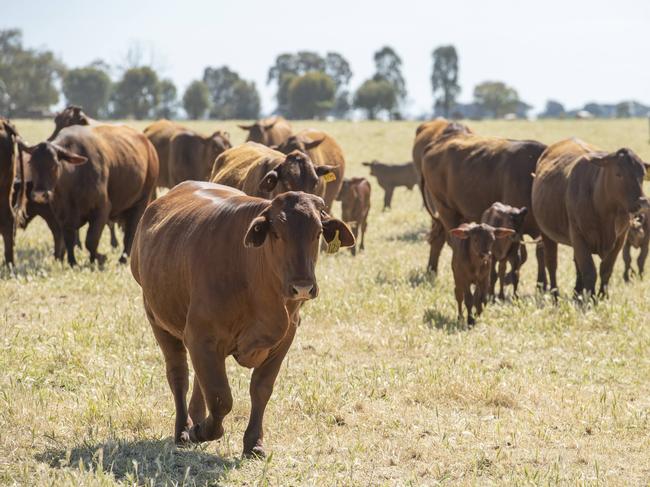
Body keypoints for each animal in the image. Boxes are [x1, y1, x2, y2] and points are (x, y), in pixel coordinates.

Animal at [22, 123, 158, 266]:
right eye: (31, 164)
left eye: (54, 164)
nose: (39, 194)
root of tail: (149, 145)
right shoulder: (63, 216)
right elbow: (70, 240)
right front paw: (72, 262)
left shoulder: (101, 210)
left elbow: (91, 240)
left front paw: (97, 259)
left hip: (141, 202)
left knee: (130, 233)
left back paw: (123, 259)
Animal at [130, 182, 354, 458]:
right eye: (276, 232)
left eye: (319, 231)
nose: (302, 286)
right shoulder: (201, 337)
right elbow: (220, 398)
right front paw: (202, 432)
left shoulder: (283, 339)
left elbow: (260, 389)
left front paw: (253, 443)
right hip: (158, 321)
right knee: (179, 375)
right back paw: (184, 429)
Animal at [418, 124, 544, 288]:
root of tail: (435, 144)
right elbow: (523, 256)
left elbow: (539, 255)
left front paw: (542, 284)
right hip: (446, 211)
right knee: (451, 240)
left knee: (437, 240)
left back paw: (431, 271)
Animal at [528, 136, 644, 298]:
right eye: (618, 174)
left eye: (642, 174)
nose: (642, 202)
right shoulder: (579, 236)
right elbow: (589, 271)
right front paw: (590, 298)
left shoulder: (620, 239)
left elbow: (606, 269)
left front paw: (602, 296)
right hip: (547, 234)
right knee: (551, 264)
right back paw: (556, 295)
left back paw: (577, 293)